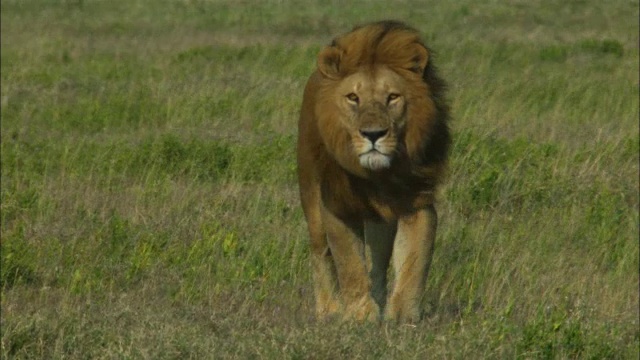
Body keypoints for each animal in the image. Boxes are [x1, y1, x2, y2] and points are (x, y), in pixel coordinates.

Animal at [296, 19, 450, 324]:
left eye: (392, 97)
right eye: (353, 97)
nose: (373, 134)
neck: (378, 177)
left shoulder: (417, 202)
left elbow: (414, 262)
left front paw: (402, 316)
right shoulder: (337, 204)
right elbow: (349, 264)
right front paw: (358, 314)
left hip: (381, 222)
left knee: (378, 263)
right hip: (311, 201)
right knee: (321, 254)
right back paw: (328, 310)